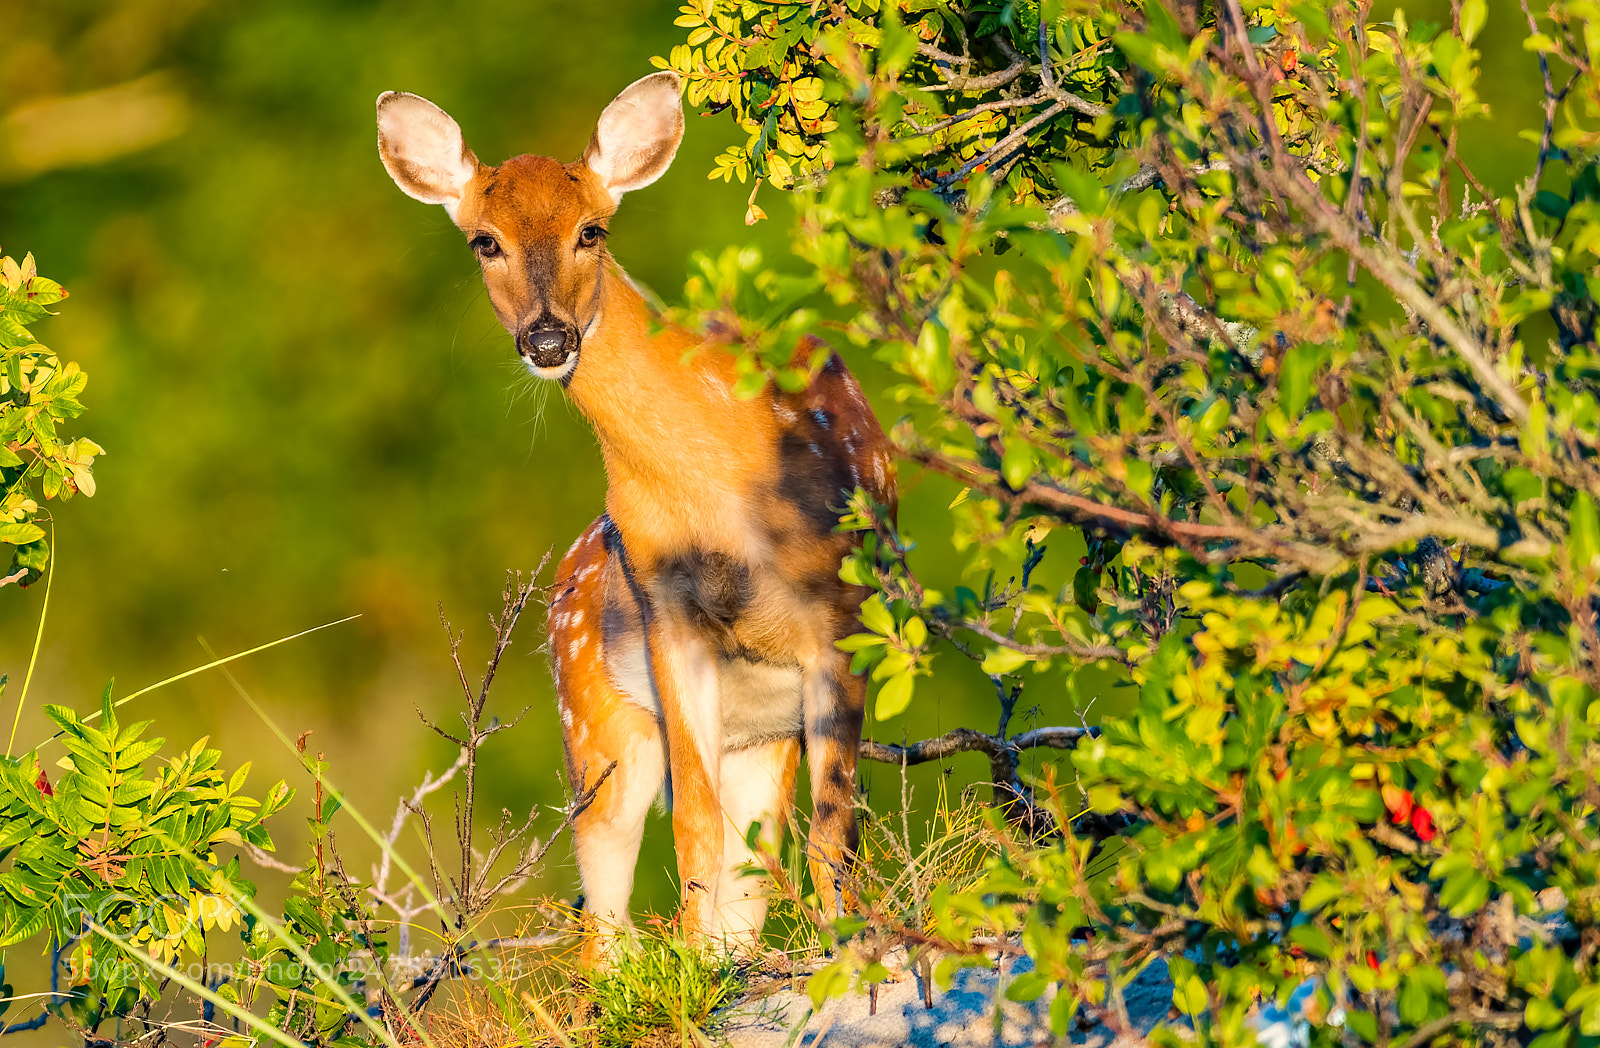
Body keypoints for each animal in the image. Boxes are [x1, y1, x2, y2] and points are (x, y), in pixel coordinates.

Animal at [376, 71, 896, 956]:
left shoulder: (840, 615)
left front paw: (853, 952)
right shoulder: (668, 613)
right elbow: (694, 826)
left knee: (754, 859)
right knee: (607, 925)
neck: (722, 487)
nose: (549, 340)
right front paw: (694, 958)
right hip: (595, 718)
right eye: (484, 241)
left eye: (592, 229)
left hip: (755, 735)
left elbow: (832, 828)